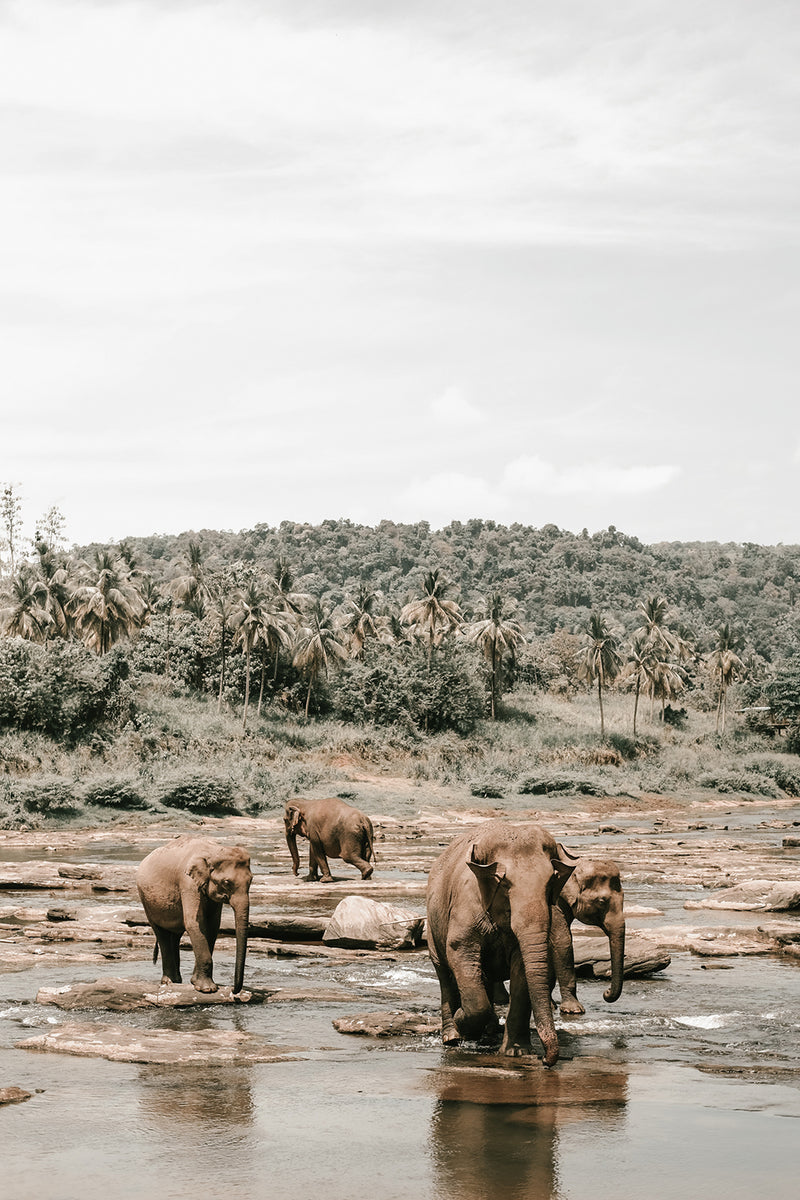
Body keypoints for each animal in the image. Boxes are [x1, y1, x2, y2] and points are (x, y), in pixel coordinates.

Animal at [134, 835, 253, 993]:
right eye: (227, 882)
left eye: (251, 880)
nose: (233, 990)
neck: (213, 850)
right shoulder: (188, 883)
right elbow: (195, 923)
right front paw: (207, 989)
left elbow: (213, 925)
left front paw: (196, 982)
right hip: (146, 901)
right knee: (162, 934)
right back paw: (169, 981)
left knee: (174, 937)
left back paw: (176, 981)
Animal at [424, 820, 575, 1065]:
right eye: (503, 884)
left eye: (551, 882)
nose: (545, 1060)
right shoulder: (465, 904)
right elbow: (459, 951)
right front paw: (462, 1021)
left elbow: (521, 969)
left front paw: (517, 1053)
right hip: (433, 922)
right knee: (444, 972)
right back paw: (452, 1037)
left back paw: (490, 1029)